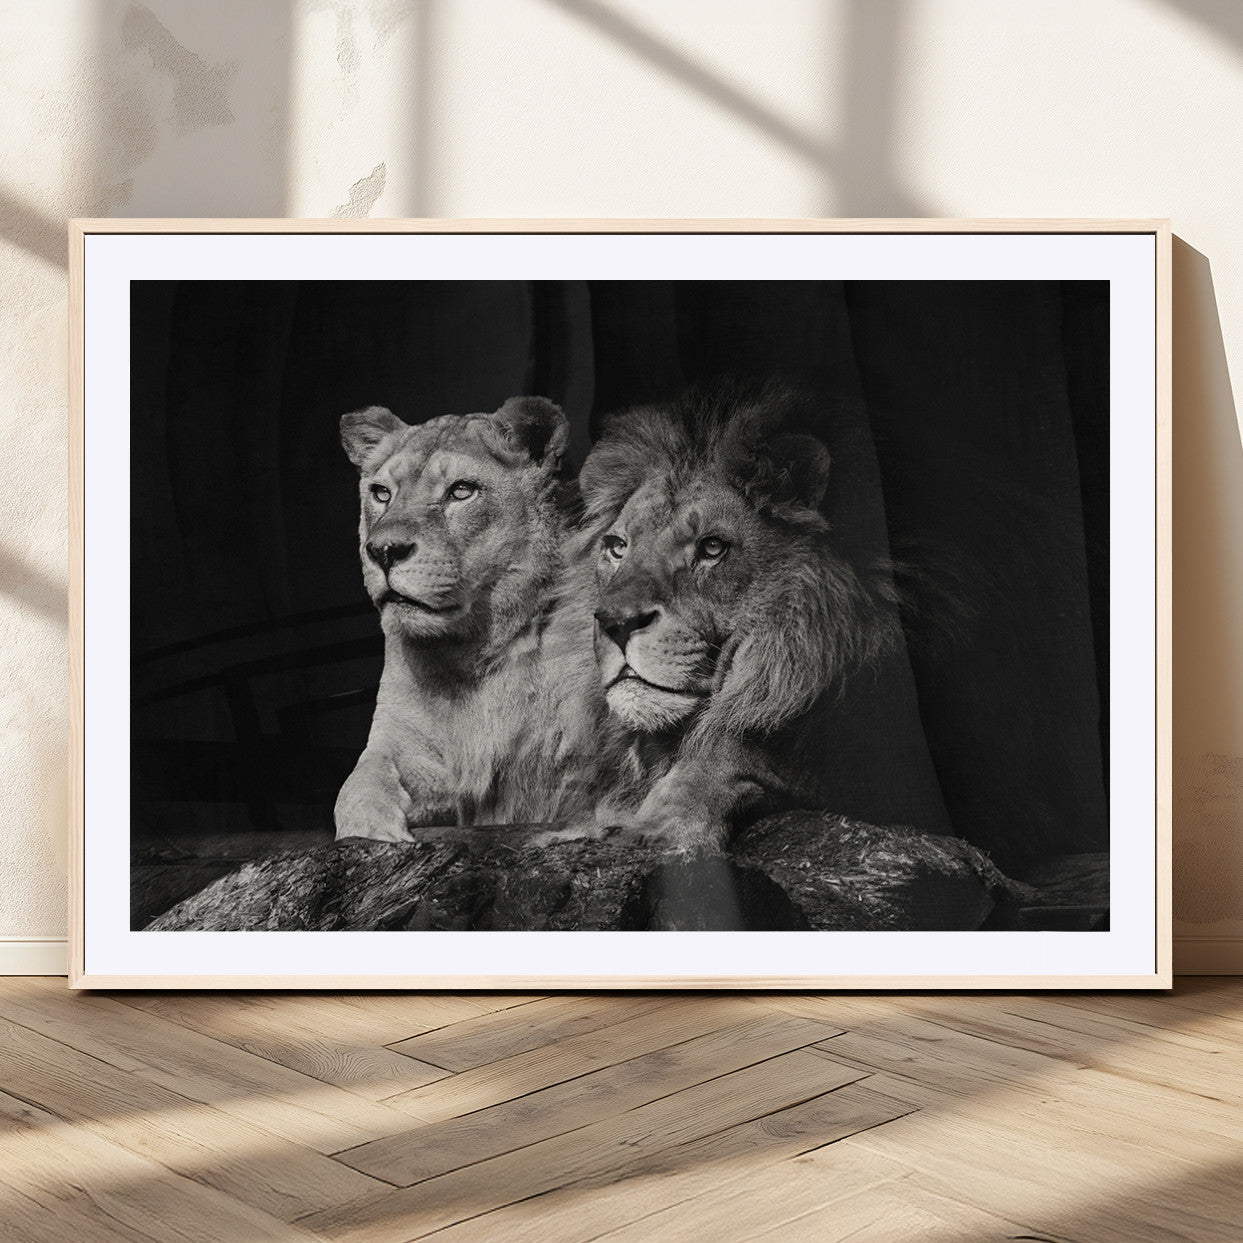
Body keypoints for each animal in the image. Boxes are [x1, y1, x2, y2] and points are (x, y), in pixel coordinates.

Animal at [334, 396, 616, 842]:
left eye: (462, 491)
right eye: (381, 493)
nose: (382, 550)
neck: (472, 651)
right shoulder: (401, 743)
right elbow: (356, 786)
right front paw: (374, 832)